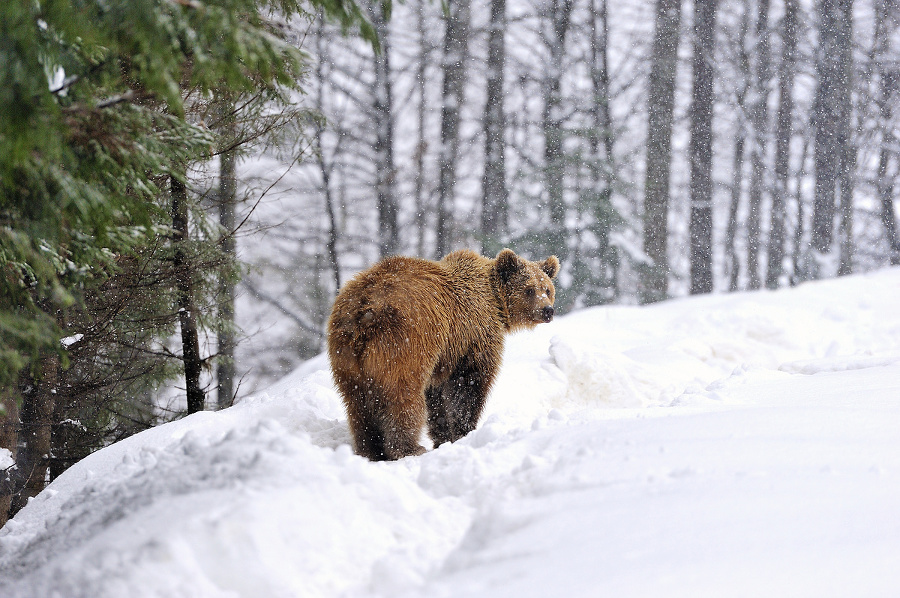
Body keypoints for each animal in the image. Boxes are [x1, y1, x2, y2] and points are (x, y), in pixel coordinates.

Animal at [326, 248, 560, 464]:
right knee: (403, 397)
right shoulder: (472, 336)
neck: (495, 302)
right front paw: (464, 432)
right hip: (404, 342)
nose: (547, 310)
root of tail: (365, 308)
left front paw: (443, 437)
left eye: (547, 289)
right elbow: (469, 385)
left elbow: (437, 396)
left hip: (346, 354)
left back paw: (370, 450)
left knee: (357, 403)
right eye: (529, 289)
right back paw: (409, 448)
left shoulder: (444, 355)